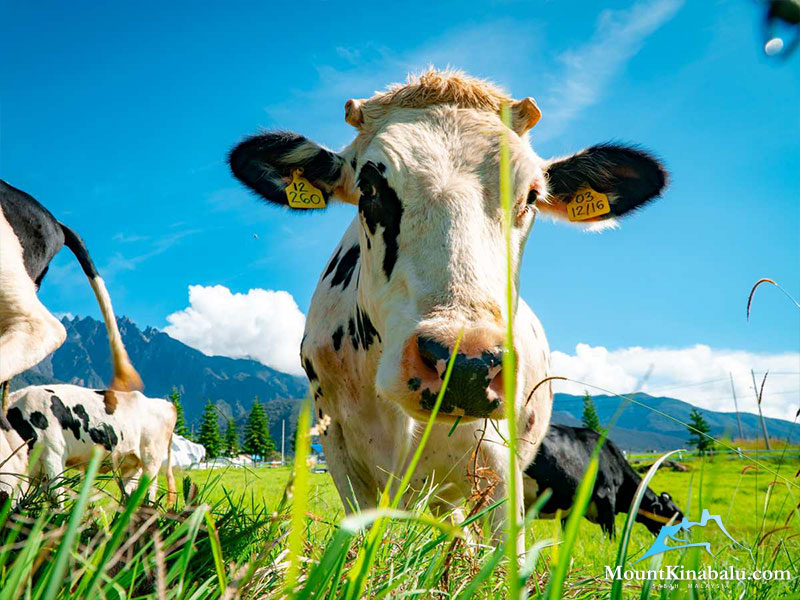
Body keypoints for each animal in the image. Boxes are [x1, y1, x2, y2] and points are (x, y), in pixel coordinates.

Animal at [7, 382, 176, 504]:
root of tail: (167, 405)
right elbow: (19, 498)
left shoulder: (53, 455)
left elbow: (56, 496)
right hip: (131, 464)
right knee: (128, 496)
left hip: (151, 460)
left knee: (150, 492)